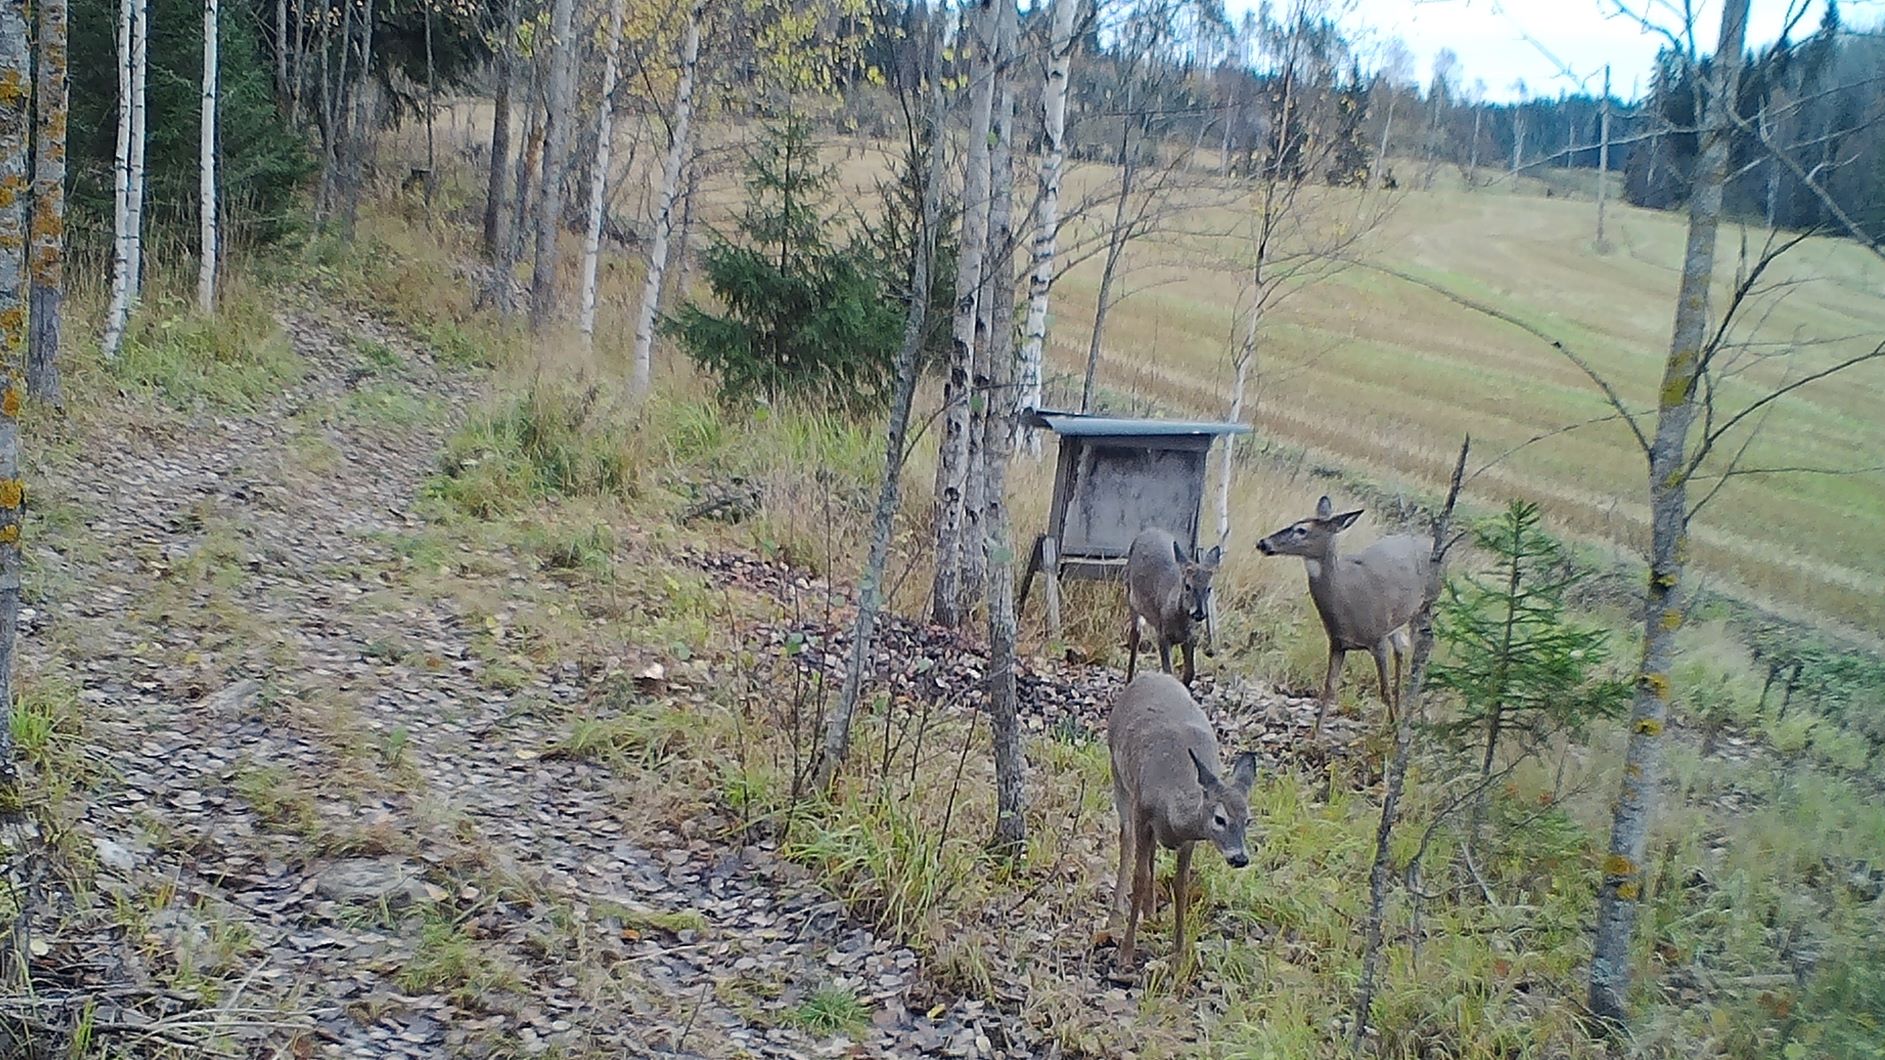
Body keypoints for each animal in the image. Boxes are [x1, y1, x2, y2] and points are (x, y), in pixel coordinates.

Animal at [1100, 671, 1259, 961]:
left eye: (1248, 820)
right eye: (1219, 818)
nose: (1240, 858)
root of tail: (1148, 674)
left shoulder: (1189, 839)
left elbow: (1181, 885)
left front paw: (1178, 955)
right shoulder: (1143, 811)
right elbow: (1139, 876)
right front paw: (1126, 952)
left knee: (1149, 850)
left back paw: (1151, 911)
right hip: (1118, 774)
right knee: (1126, 839)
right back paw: (1116, 916)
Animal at [1115, 524, 1221, 690]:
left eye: (1209, 589)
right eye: (1187, 586)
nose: (1199, 613)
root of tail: (1149, 530)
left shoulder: (1189, 638)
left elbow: (1190, 672)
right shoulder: (1162, 634)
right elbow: (1168, 671)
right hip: (1130, 595)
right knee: (1135, 636)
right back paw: (1128, 680)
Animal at [1251, 494, 1425, 735]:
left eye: (1301, 530)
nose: (1263, 543)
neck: (1346, 602)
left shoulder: (1377, 639)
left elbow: (1384, 690)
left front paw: (1394, 733)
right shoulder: (1336, 641)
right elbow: (1329, 688)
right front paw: (1314, 735)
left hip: (1425, 606)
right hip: (1395, 621)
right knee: (1401, 648)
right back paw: (1400, 709)